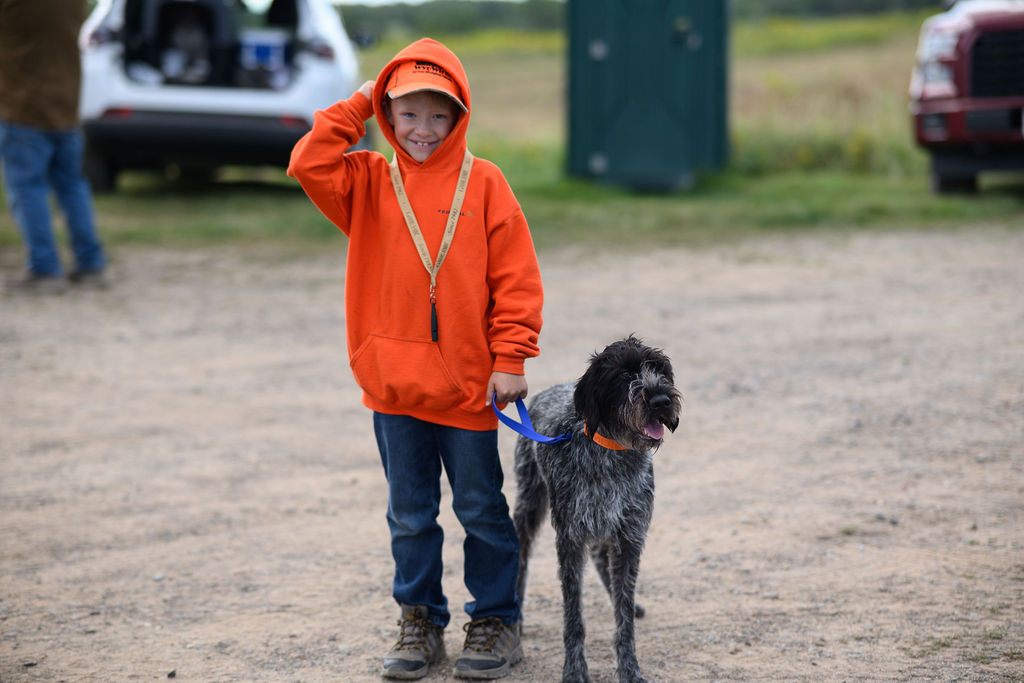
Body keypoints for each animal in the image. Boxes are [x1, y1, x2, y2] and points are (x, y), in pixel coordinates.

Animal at [513, 336, 682, 683]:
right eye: (624, 375)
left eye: (660, 371)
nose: (661, 401)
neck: (612, 451)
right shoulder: (570, 538)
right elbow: (573, 619)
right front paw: (575, 670)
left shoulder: (630, 535)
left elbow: (624, 620)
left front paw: (630, 668)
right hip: (529, 503)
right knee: (520, 558)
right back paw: (516, 614)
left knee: (604, 563)